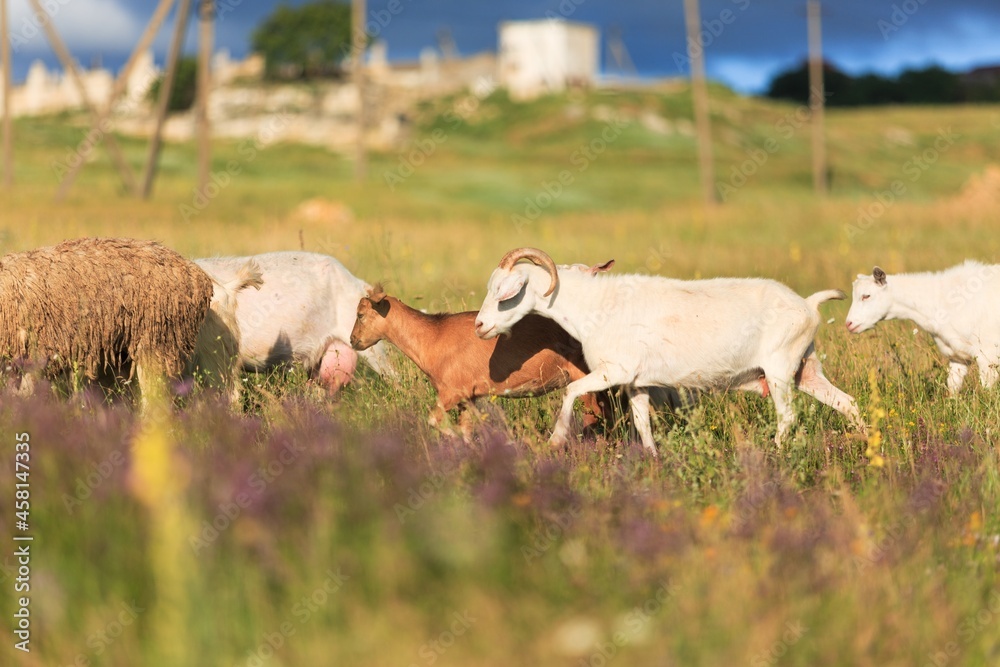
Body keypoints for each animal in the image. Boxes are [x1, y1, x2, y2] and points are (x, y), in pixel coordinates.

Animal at [472, 248, 864, 456]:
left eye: (505, 292)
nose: (479, 325)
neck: (596, 307)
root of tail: (808, 304)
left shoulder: (614, 370)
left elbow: (570, 391)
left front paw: (555, 440)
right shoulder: (637, 382)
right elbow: (642, 423)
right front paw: (653, 459)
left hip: (780, 369)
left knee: (788, 416)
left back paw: (774, 453)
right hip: (806, 368)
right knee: (847, 403)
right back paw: (864, 440)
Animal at [844, 262, 1000, 394]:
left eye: (866, 296)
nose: (849, 324)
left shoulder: (988, 356)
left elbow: (987, 391)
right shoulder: (957, 356)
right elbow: (953, 387)